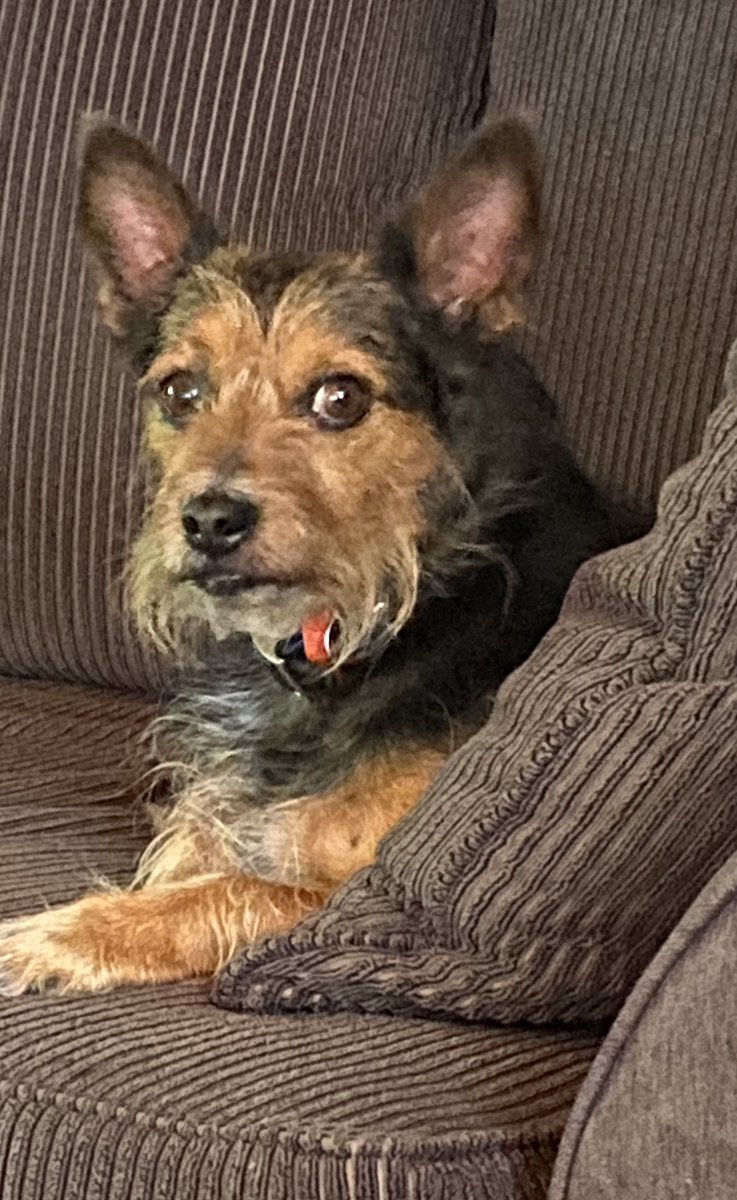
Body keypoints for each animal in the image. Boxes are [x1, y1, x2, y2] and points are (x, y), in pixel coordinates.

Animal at [0, 114, 614, 993]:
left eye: (340, 397)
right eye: (179, 390)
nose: (209, 519)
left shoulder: (353, 900)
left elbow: (219, 893)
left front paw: (54, 934)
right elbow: (189, 867)